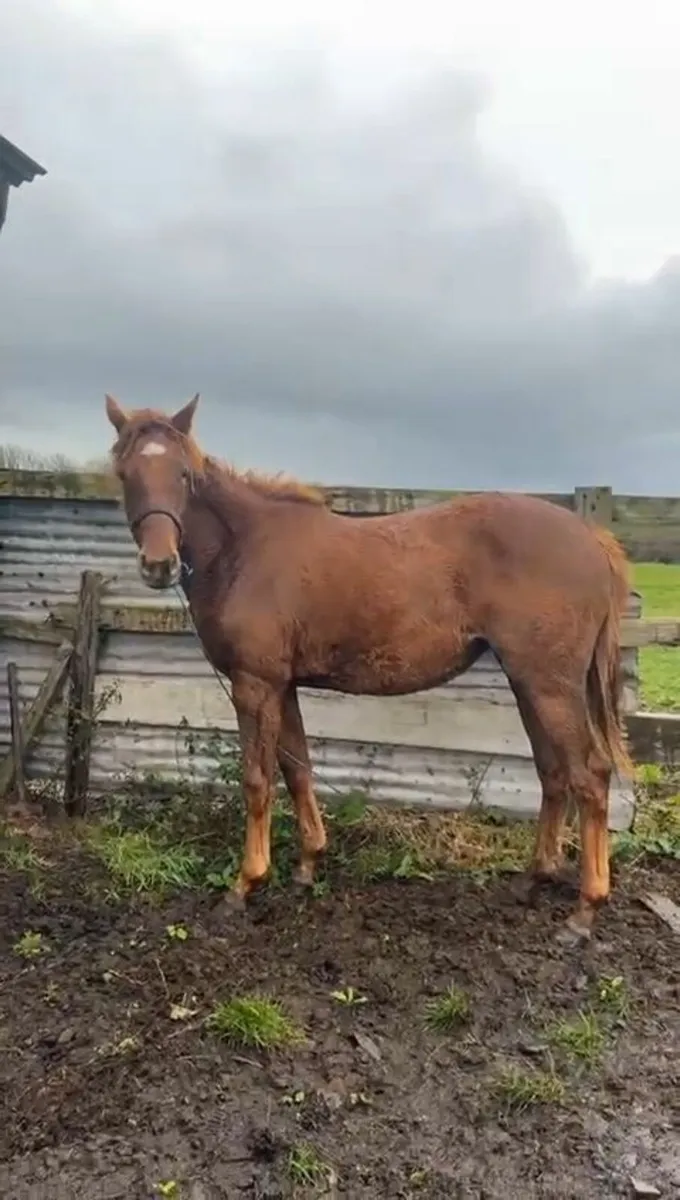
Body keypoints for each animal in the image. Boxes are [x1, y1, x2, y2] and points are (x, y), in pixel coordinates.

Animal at [105, 393, 633, 942]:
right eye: (124, 472)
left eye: (184, 473)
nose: (158, 565)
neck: (244, 549)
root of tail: (592, 538)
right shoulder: (284, 686)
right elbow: (297, 769)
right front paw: (307, 865)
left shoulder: (255, 685)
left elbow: (256, 779)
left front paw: (245, 884)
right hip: (528, 683)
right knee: (553, 772)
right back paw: (532, 880)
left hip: (550, 686)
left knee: (590, 775)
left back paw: (585, 910)